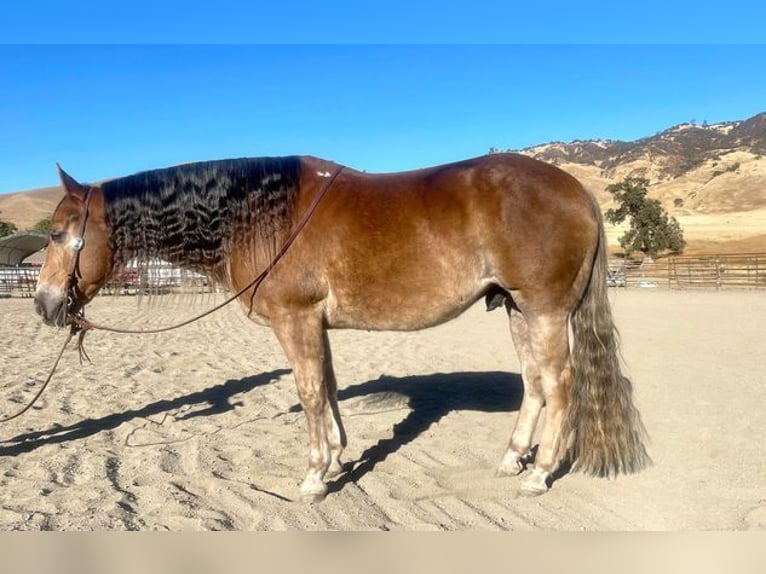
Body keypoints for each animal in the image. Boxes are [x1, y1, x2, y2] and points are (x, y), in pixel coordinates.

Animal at [34, 154, 648, 504]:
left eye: (61, 234)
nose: (44, 304)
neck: (262, 215)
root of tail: (574, 190)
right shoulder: (314, 323)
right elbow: (326, 386)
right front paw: (337, 456)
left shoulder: (296, 318)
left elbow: (309, 391)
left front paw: (314, 477)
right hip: (518, 310)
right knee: (534, 384)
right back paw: (512, 457)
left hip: (543, 311)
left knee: (560, 385)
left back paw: (538, 474)